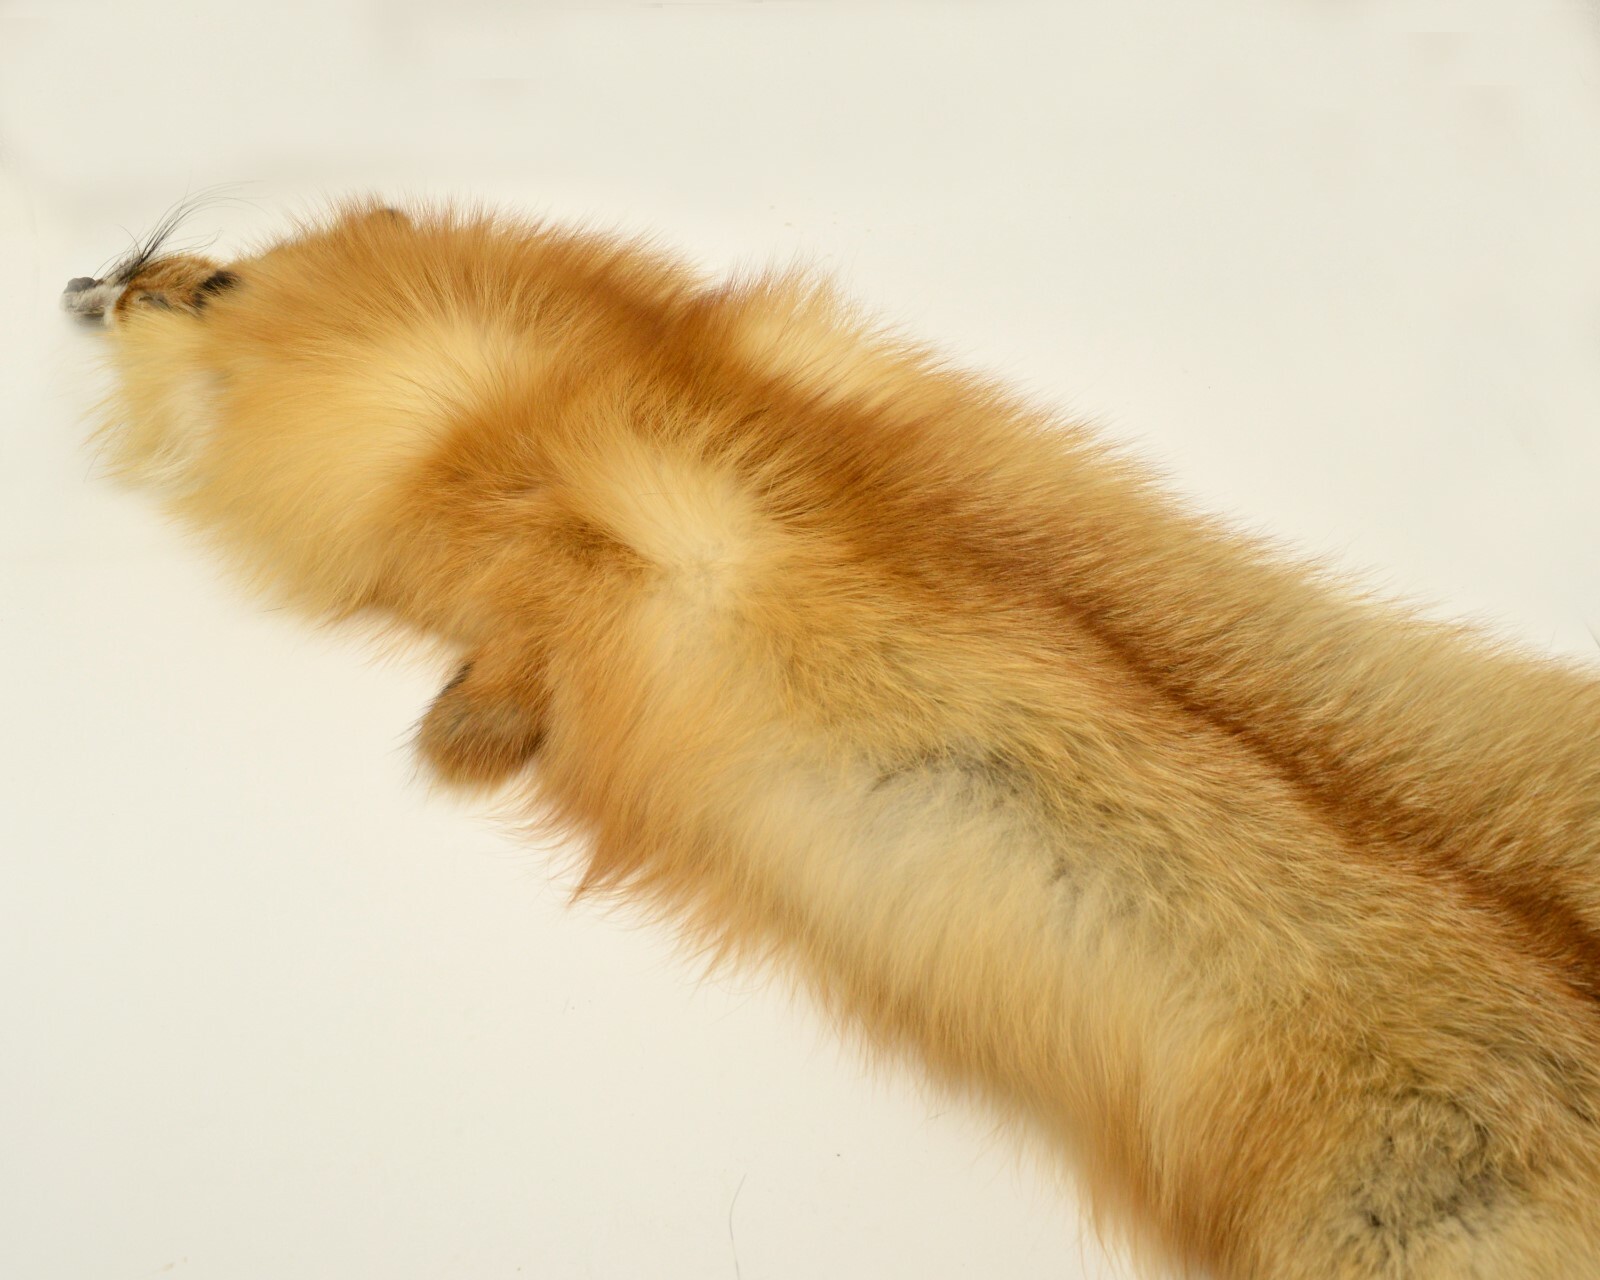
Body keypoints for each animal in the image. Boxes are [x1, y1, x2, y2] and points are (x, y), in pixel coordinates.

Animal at [64, 200, 1600, 1279]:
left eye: (197, 281)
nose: (90, 276)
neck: (524, 394)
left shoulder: (589, 558)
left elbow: (509, 665)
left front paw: (458, 740)